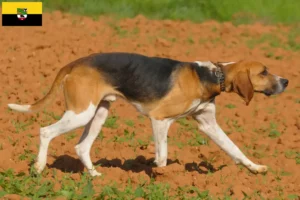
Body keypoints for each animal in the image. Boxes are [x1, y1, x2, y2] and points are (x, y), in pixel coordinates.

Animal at [7, 52, 288, 177]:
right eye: (264, 72)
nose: (285, 81)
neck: (211, 75)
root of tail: (75, 63)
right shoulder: (160, 119)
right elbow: (162, 156)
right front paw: (160, 176)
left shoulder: (208, 124)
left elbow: (235, 149)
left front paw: (255, 168)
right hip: (81, 113)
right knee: (45, 131)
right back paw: (39, 167)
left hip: (98, 113)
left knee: (81, 147)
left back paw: (95, 177)